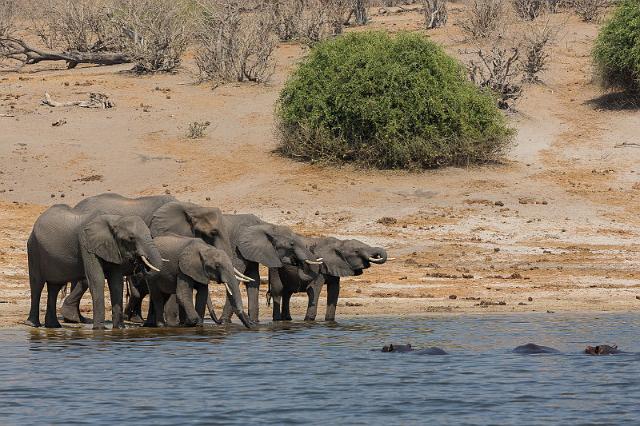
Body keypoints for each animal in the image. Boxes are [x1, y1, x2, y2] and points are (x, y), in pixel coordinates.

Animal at [27, 205, 162, 332]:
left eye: (151, 235)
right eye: (131, 238)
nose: (140, 262)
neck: (115, 220)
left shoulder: (113, 248)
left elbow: (116, 284)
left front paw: (119, 329)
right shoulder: (86, 244)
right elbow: (97, 280)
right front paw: (100, 329)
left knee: (54, 287)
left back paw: (53, 326)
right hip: (33, 248)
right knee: (37, 285)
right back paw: (33, 324)